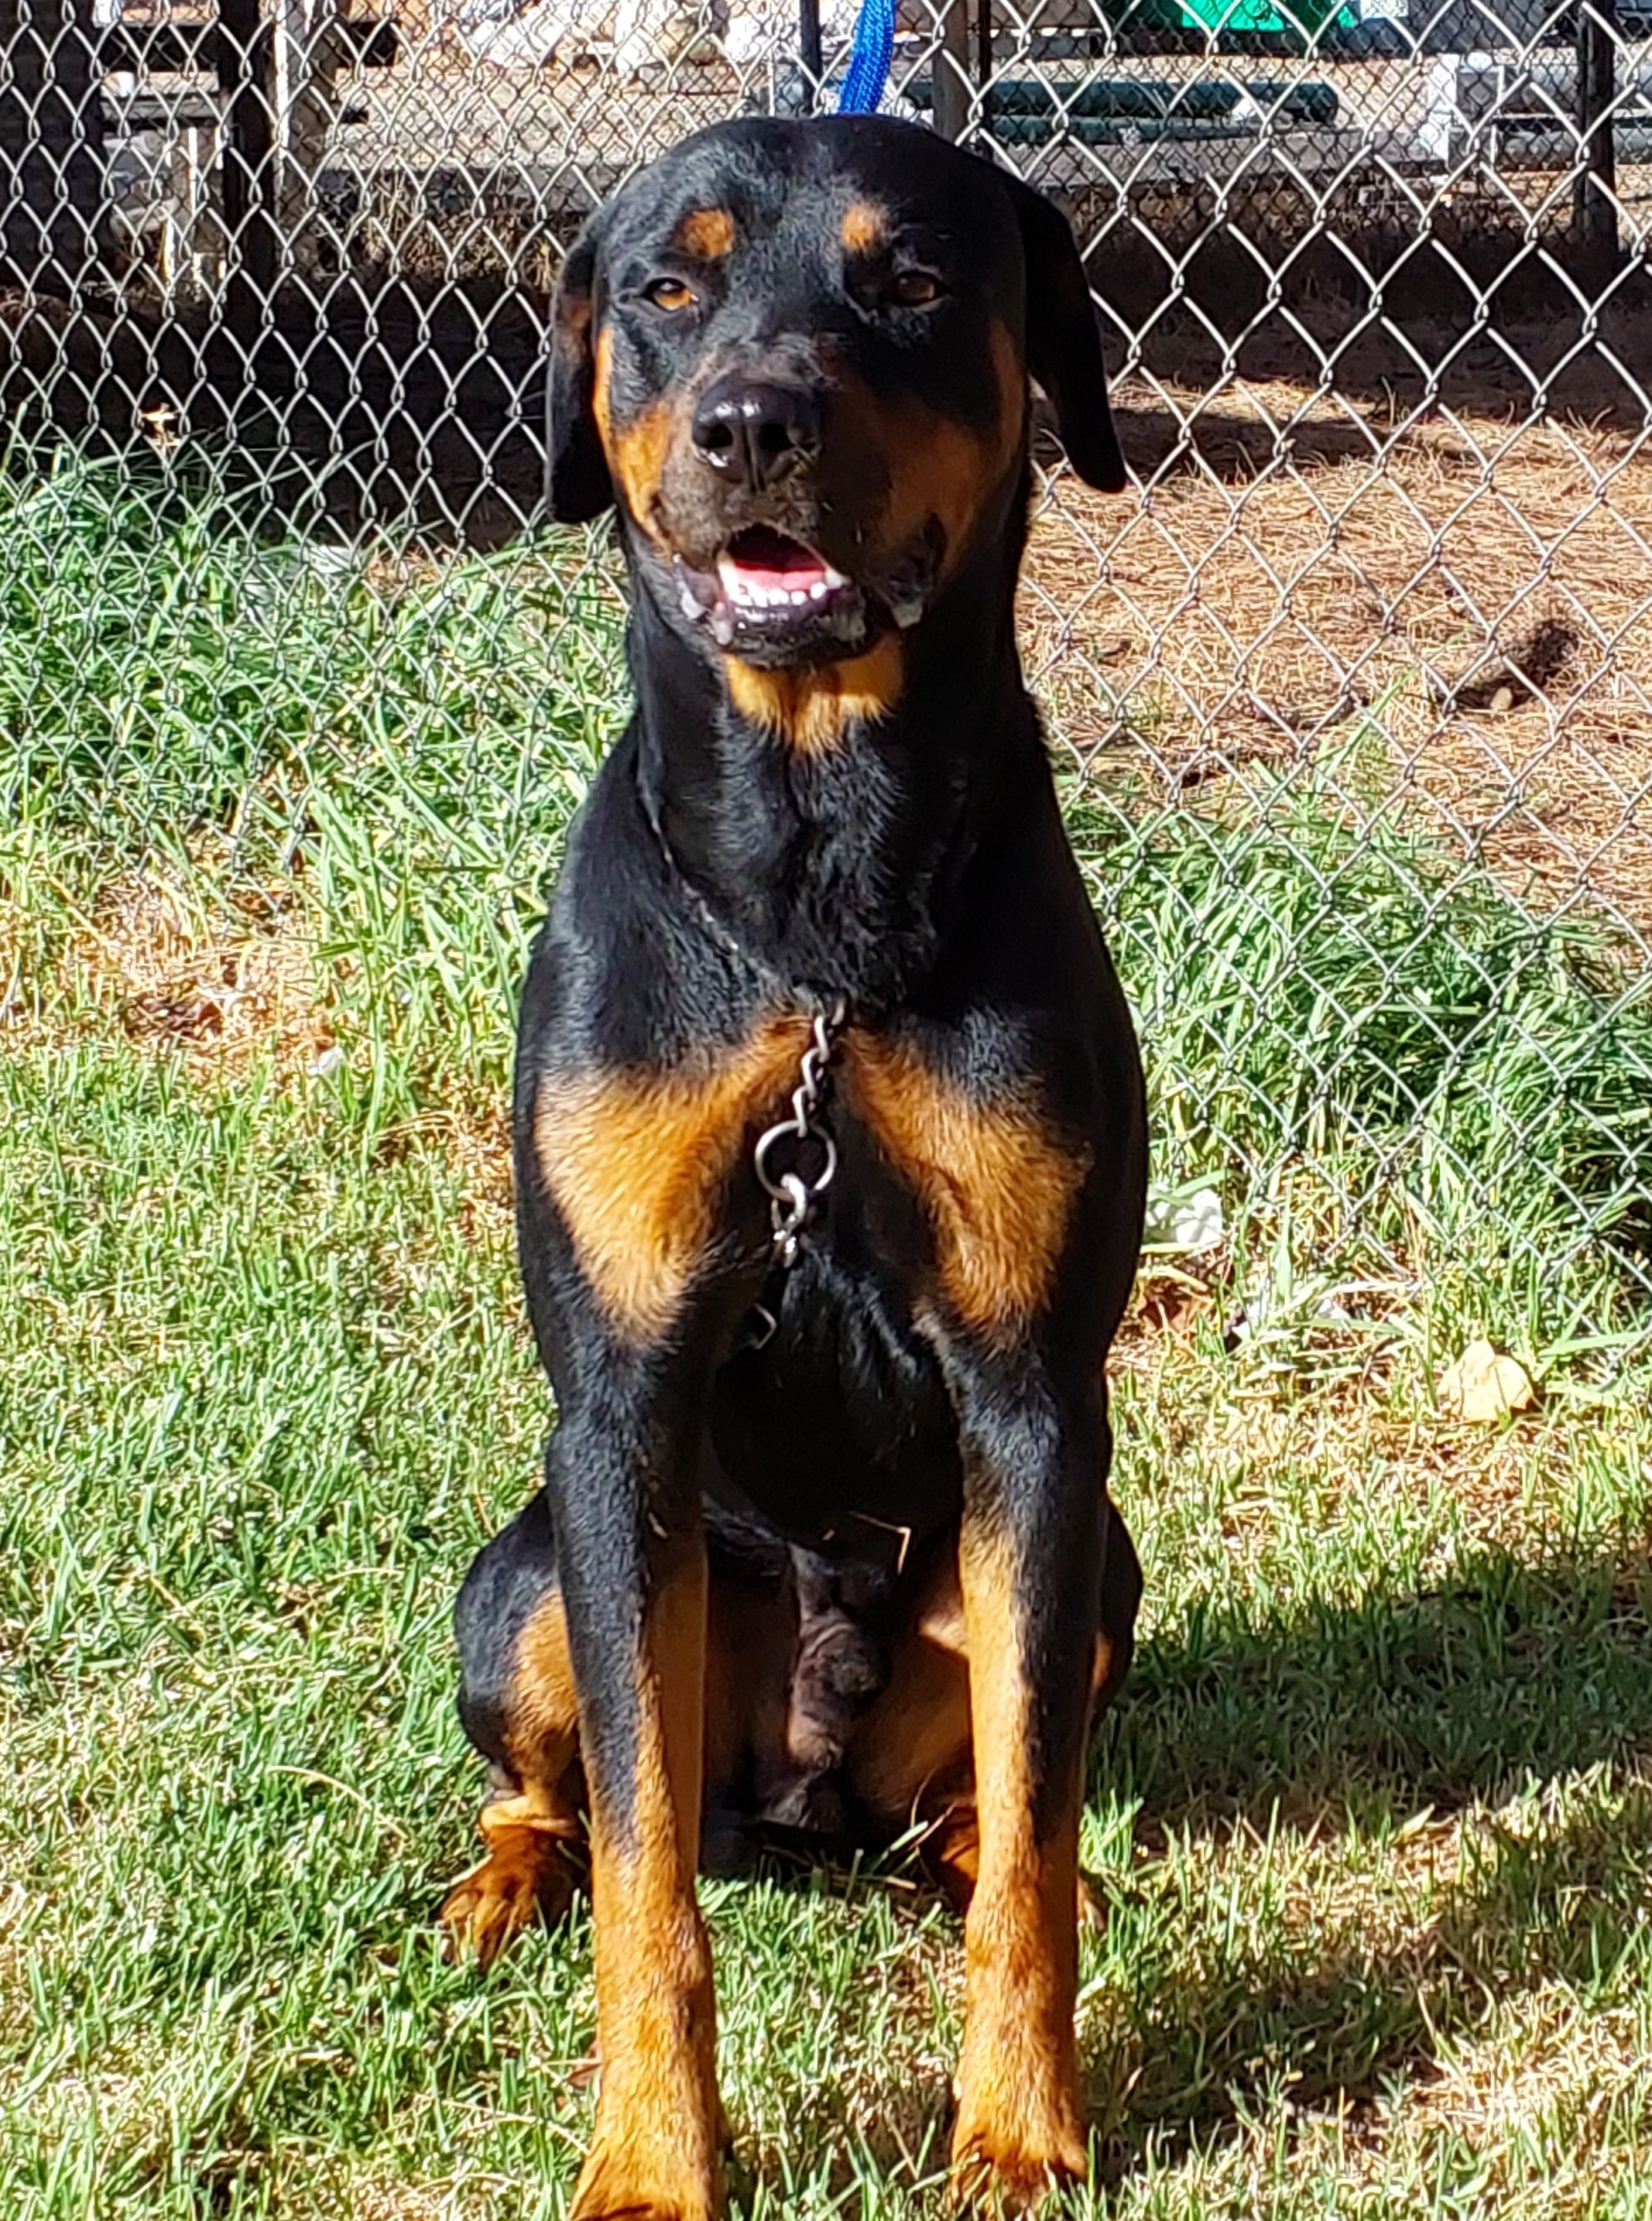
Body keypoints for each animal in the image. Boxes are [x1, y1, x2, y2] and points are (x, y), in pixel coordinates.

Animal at [446, 117, 1154, 2203]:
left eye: (908, 277)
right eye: (666, 285)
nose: (753, 422)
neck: (815, 901)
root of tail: (802, 1798)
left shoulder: (1034, 1405)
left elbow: (1031, 1840)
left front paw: (1017, 2123)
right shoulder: (617, 1406)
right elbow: (644, 1881)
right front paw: (652, 2156)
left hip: (1096, 1564)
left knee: (988, 1811)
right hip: (520, 1573)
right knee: (585, 1799)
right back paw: (503, 1876)